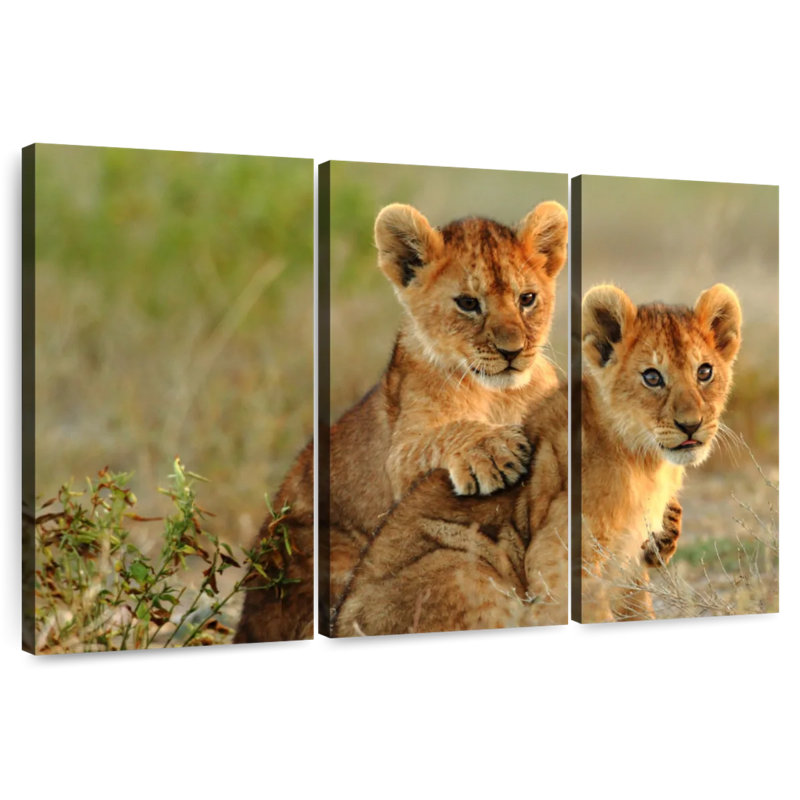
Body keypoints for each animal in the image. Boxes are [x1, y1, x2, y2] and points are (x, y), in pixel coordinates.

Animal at [234, 200, 568, 642]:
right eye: (468, 303)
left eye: (527, 298)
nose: (513, 351)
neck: (500, 395)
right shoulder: (400, 456)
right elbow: (439, 438)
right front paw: (493, 449)